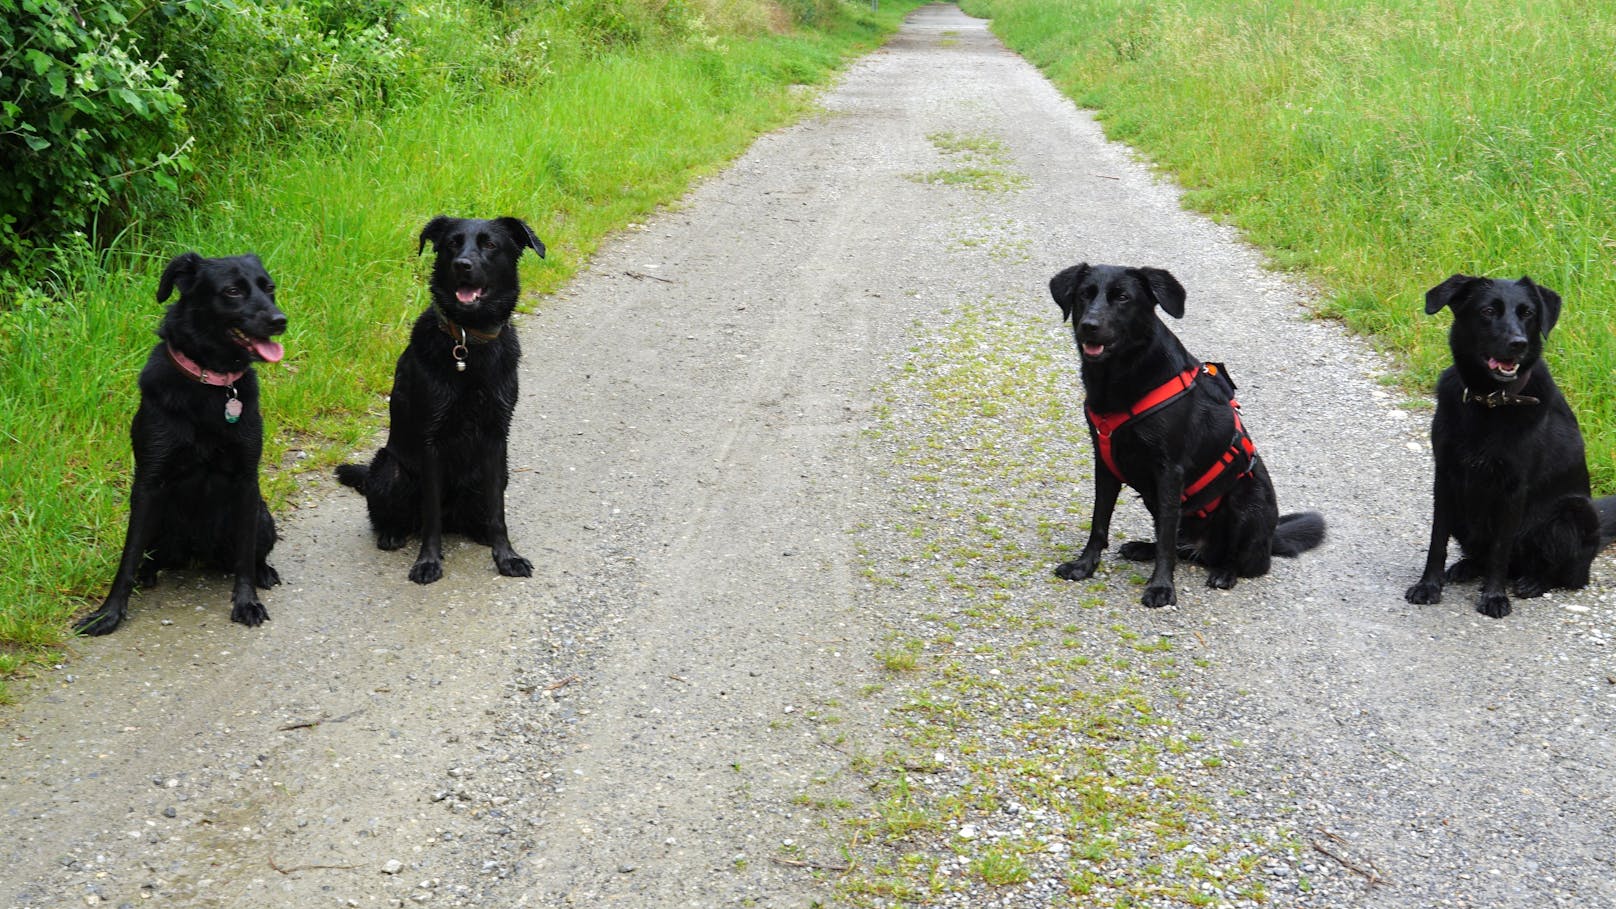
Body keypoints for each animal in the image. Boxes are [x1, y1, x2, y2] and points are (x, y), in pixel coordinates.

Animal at [76, 250, 287, 634]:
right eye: (233, 290)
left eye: (269, 288)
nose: (281, 321)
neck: (210, 383)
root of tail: (195, 555)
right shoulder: (148, 484)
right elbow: (127, 559)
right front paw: (109, 612)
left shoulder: (247, 482)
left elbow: (245, 556)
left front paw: (246, 601)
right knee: (146, 556)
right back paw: (147, 573)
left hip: (263, 516)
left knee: (252, 553)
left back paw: (264, 571)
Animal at [337, 213, 546, 579]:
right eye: (452, 243)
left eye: (490, 245)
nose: (462, 265)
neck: (467, 341)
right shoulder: (430, 442)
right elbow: (430, 515)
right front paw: (428, 561)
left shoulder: (496, 438)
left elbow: (498, 512)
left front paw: (506, 555)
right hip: (390, 469)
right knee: (392, 515)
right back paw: (391, 533)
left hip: (497, 471)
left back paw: (479, 532)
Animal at [1047, 258, 1325, 604]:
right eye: (1084, 294)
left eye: (1122, 297)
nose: (1089, 325)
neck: (1119, 375)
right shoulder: (1105, 463)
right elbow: (1099, 522)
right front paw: (1084, 566)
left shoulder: (1170, 471)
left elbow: (1166, 538)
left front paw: (1161, 587)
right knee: (1178, 543)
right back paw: (1143, 548)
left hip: (1247, 503)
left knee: (1247, 562)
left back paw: (1225, 572)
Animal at [1402, 276, 1616, 614]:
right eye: (1488, 311)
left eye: (1528, 313)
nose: (1519, 344)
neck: (1489, 402)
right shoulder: (1445, 478)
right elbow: (1437, 541)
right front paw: (1429, 586)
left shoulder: (1514, 489)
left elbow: (1500, 550)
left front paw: (1494, 596)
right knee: (1482, 554)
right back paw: (1466, 567)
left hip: (1574, 511)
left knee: (1567, 575)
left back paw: (1534, 582)